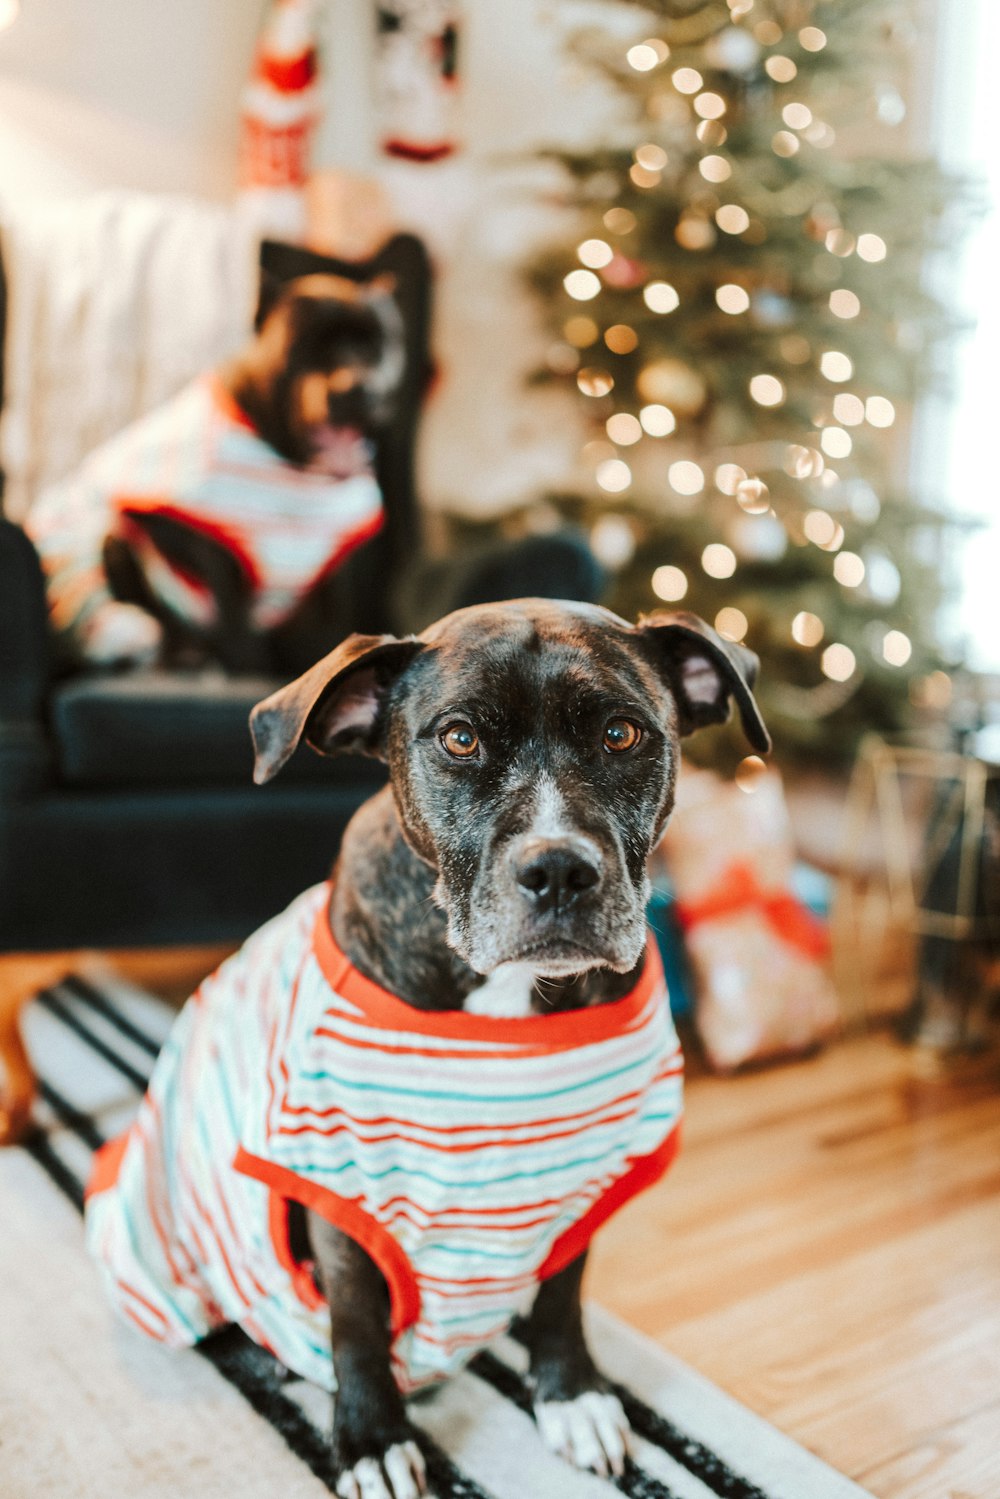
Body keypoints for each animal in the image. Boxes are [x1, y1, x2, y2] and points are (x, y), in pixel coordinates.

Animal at [88, 599, 773, 1499]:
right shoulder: (338, 1189)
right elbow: (356, 1327)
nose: (559, 869)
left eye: (622, 734)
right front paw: (371, 1437)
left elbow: (563, 1294)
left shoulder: (583, 1176)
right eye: (459, 738)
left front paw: (572, 1395)